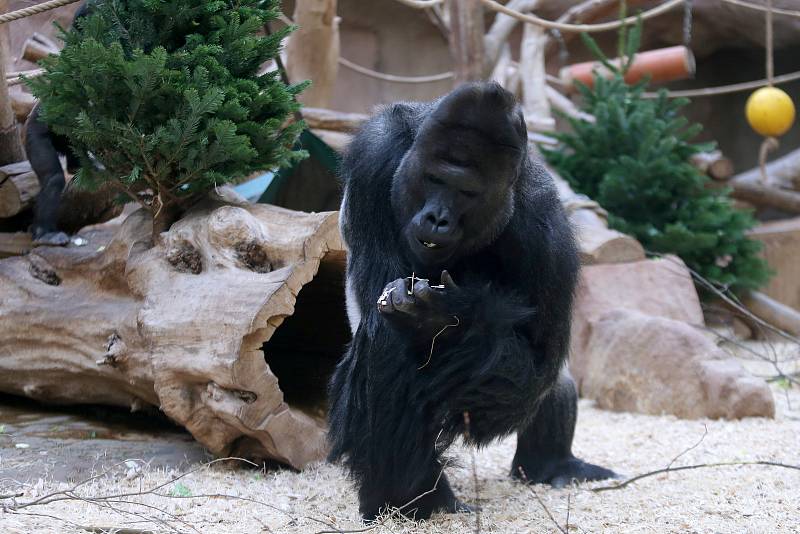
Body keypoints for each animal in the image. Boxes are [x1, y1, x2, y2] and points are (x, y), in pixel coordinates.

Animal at [328, 81, 616, 520]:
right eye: (433, 179)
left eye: (466, 192)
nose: (437, 219)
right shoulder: (373, 157)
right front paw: (436, 323)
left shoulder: (549, 235)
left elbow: (536, 371)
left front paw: (449, 323)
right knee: (387, 339)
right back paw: (411, 498)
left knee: (551, 383)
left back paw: (551, 465)